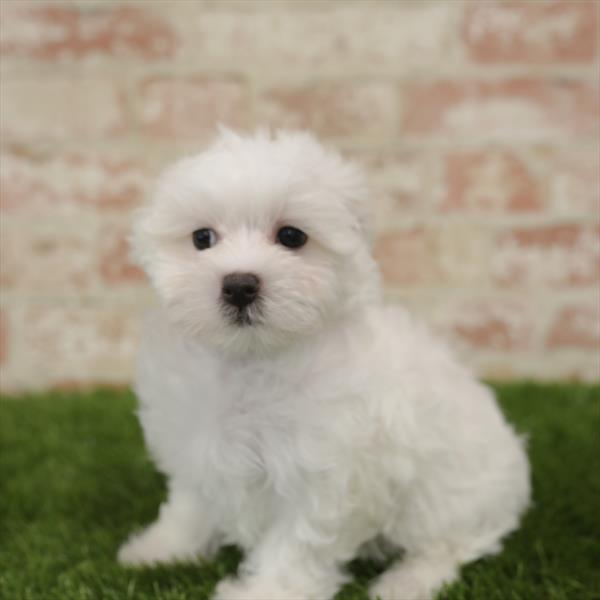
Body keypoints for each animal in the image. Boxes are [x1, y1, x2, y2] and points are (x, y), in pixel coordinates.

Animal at [118, 130, 528, 600]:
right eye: (202, 238)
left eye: (292, 236)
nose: (239, 285)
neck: (253, 360)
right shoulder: (198, 445)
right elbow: (189, 505)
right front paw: (162, 548)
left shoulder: (323, 475)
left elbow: (297, 544)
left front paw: (266, 591)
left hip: (449, 497)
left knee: (451, 545)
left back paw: (406, 582)